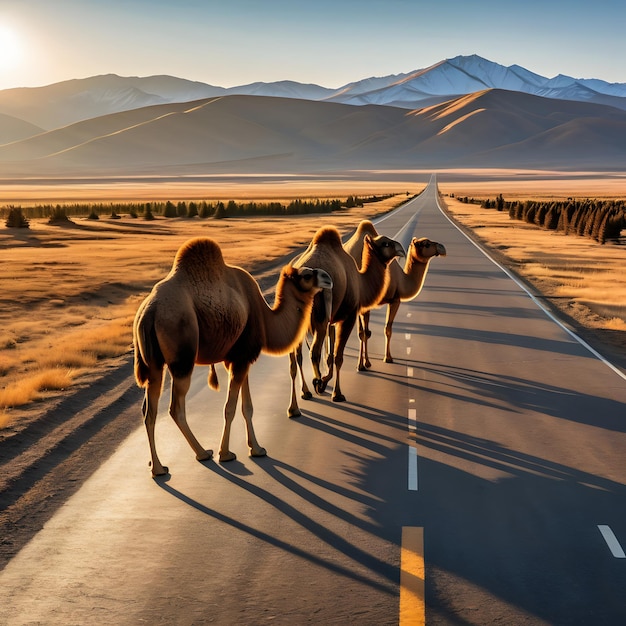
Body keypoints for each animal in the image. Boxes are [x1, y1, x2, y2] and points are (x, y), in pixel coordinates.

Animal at [133, 235, 332, 472]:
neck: (265, 318)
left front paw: (256, 449)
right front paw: (226, 453)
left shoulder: (240, 358)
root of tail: (148, 312)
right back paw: (202, 453)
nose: (328, 278)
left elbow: (248, 407)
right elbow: (230, 407)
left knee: (149, 410)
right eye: (307, 275)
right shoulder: (241, 358)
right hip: (181, 351)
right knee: (175, 407)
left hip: (153, 363)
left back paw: (158, 468)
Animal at [286, 224, 402, 414]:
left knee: (295, 359)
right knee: (313, 352)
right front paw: (335, 392)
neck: (361, 281)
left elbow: (330, 355)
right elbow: (338, 357)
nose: (401, 249)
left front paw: (324, 381)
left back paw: (298, 403)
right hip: (319, 316)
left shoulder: (333, 320)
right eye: (385, 243)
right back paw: (315, 384)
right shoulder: (348, 316)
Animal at [342, 219, 444, 366]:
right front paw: (386, 358)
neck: (402, 280)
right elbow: (386, 330)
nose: (442, 247)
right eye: (426, 244)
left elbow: (372, 331)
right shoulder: (395, 300)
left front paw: (369, 362)